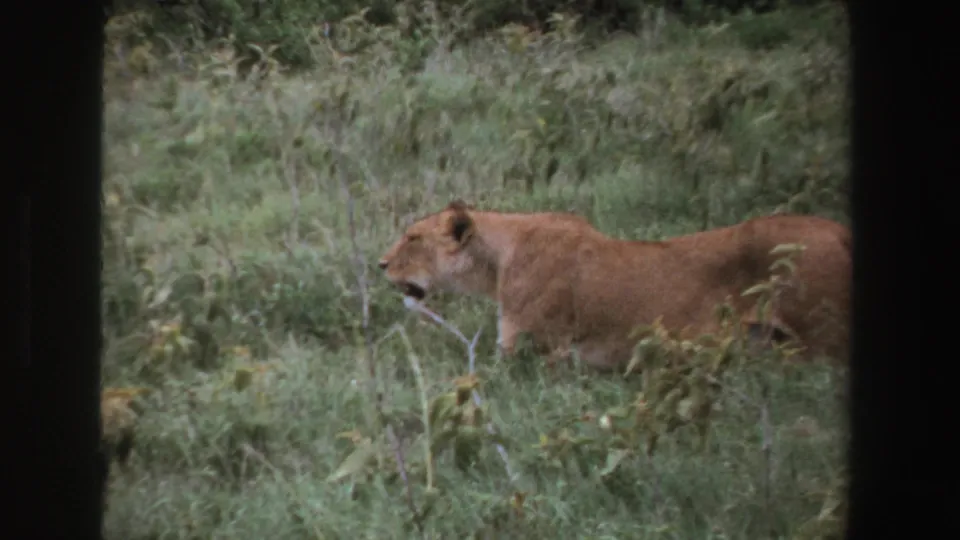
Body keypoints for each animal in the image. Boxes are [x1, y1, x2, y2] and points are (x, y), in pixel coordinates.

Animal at [378, 200, 851, 371]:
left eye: (413, 238)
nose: (380, 264)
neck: (497, 263)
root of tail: (841, 229)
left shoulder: (533, 353)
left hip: (822, 342)